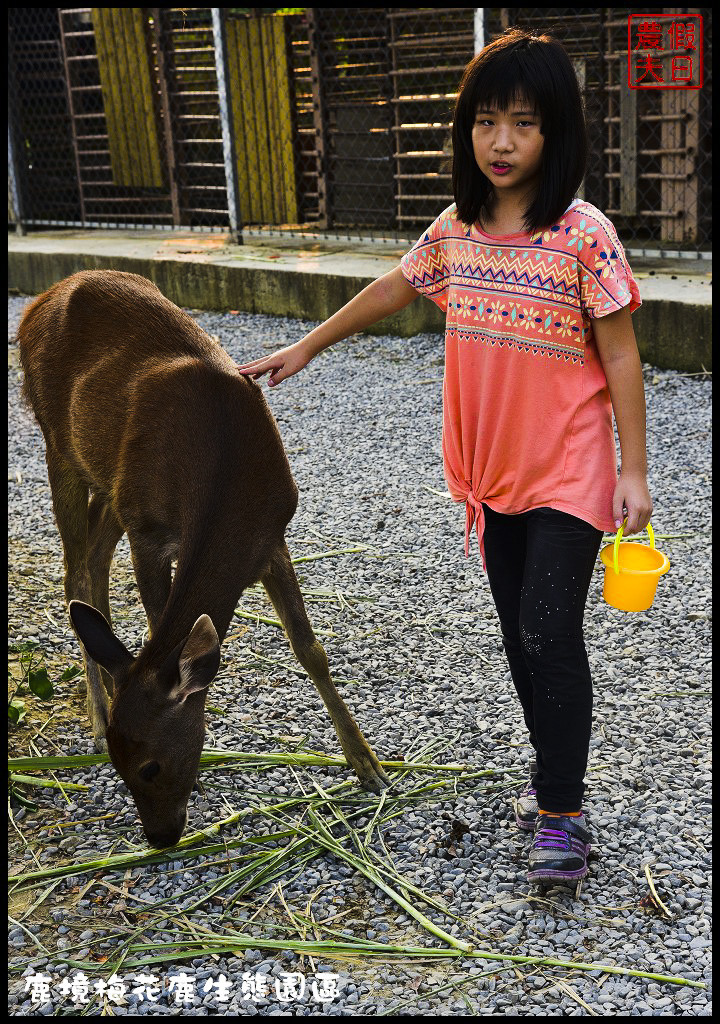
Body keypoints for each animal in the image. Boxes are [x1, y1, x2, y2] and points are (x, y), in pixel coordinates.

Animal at [18, 270, 389, 847]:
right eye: (121, 770)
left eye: (148, 766)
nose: (161, 838)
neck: (225, 479)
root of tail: (39, 302)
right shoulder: (149, 530)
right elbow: (159, 623)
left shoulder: (270, 537)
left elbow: (310, 650)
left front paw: (367, 764)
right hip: (59, 445)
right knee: (74, 572)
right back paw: (97, 716)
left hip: (106, 480)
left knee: (92, 565)